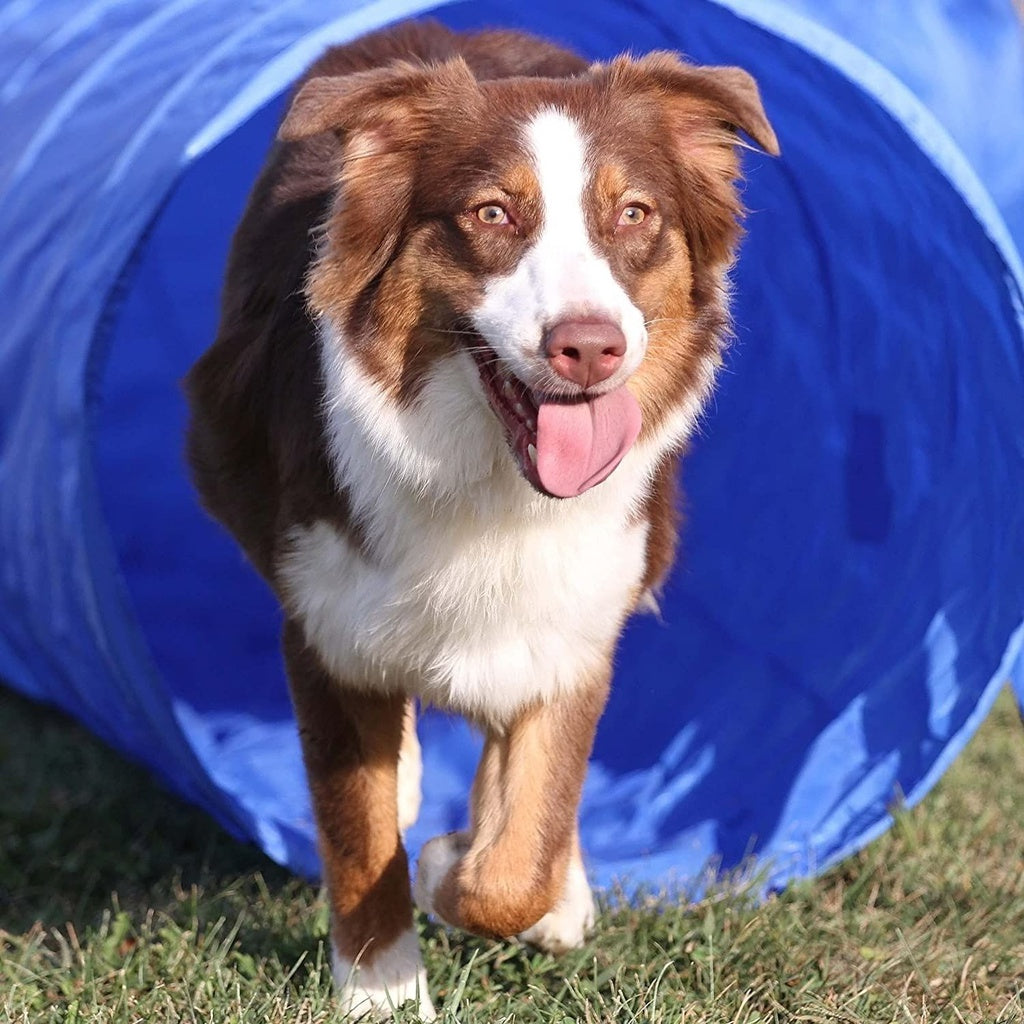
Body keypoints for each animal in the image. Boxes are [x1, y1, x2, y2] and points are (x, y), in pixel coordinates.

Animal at [184, 19, 774, 1019]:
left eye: (635, 215)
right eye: (492, 214)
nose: (588, 347)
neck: (494, 483)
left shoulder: (578, 620)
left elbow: (520, 856)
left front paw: (496, 879)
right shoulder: (325, 624)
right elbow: (360, 833)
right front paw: (383, 988)